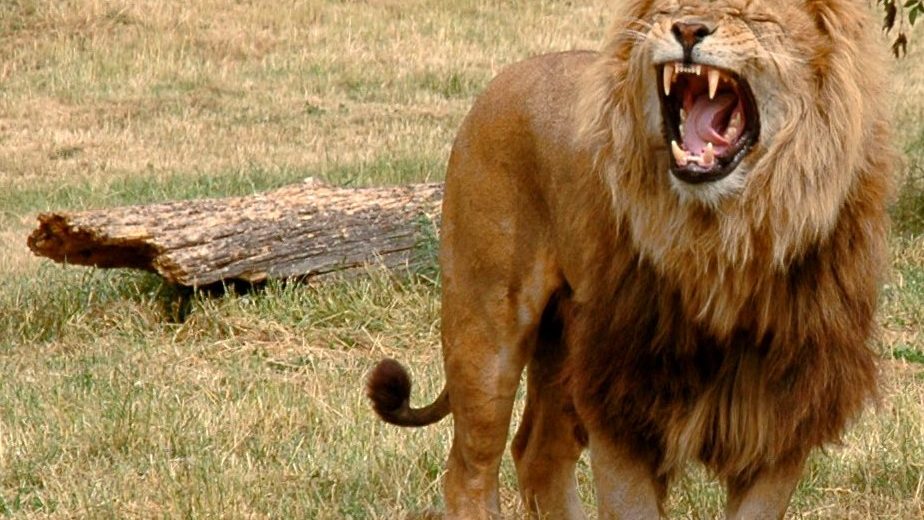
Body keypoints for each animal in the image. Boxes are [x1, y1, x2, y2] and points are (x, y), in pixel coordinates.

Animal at [367, 0, 896, 518]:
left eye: (752, 15)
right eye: (670, 9)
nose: (687, 30)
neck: (726, 240)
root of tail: (508, 75)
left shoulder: (782, 410)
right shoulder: (622, 393)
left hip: (563, 340)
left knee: (538, 453)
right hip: (486, 326)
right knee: (469, 470)